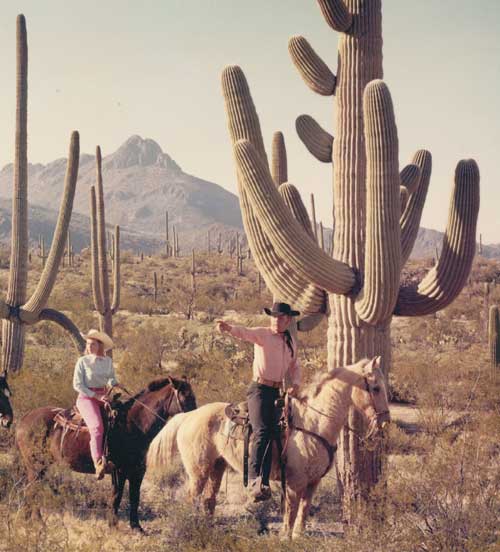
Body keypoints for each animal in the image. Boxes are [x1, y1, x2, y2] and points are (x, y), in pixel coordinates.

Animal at [16, 376, 195, 532]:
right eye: (185, 396)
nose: (195, 416)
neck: (133, 424)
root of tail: (25, 418)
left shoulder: (138, 472)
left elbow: (134, 497)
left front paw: (137, 527)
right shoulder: (119, 471)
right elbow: (116, 496)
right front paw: (113, 526)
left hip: (40, 467)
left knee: (29, 490)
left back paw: (28, 520)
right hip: (36, 466)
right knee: (32, 490)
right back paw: (39, 522)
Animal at [148, 358, 390, 540]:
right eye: (376, 387)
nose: (385, 421)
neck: (314, 421)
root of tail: (187, 416)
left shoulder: (312, 483)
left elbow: (303, 512)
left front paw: (298, 537)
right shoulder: (294, 483)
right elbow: (290, 512)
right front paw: (285, 538)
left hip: (217, 466)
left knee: (209, 500)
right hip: (198, 470)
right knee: (192, 498)